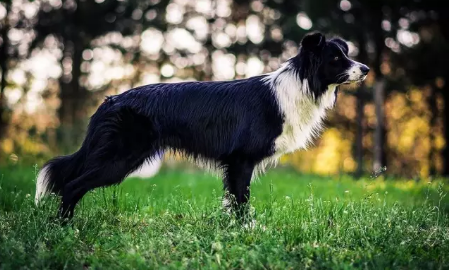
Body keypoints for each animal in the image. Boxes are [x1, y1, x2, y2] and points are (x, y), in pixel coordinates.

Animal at [36, 33, 368, 219]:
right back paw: (65, 228)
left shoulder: (236, 164)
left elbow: (234, 201)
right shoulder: (240, 160)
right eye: (335, 58)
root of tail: (109, 101)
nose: (366, 69)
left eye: (346, 54)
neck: (301, 83)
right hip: (119, 158)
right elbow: (241, 201)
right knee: (71, 185)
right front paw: (245, 231)